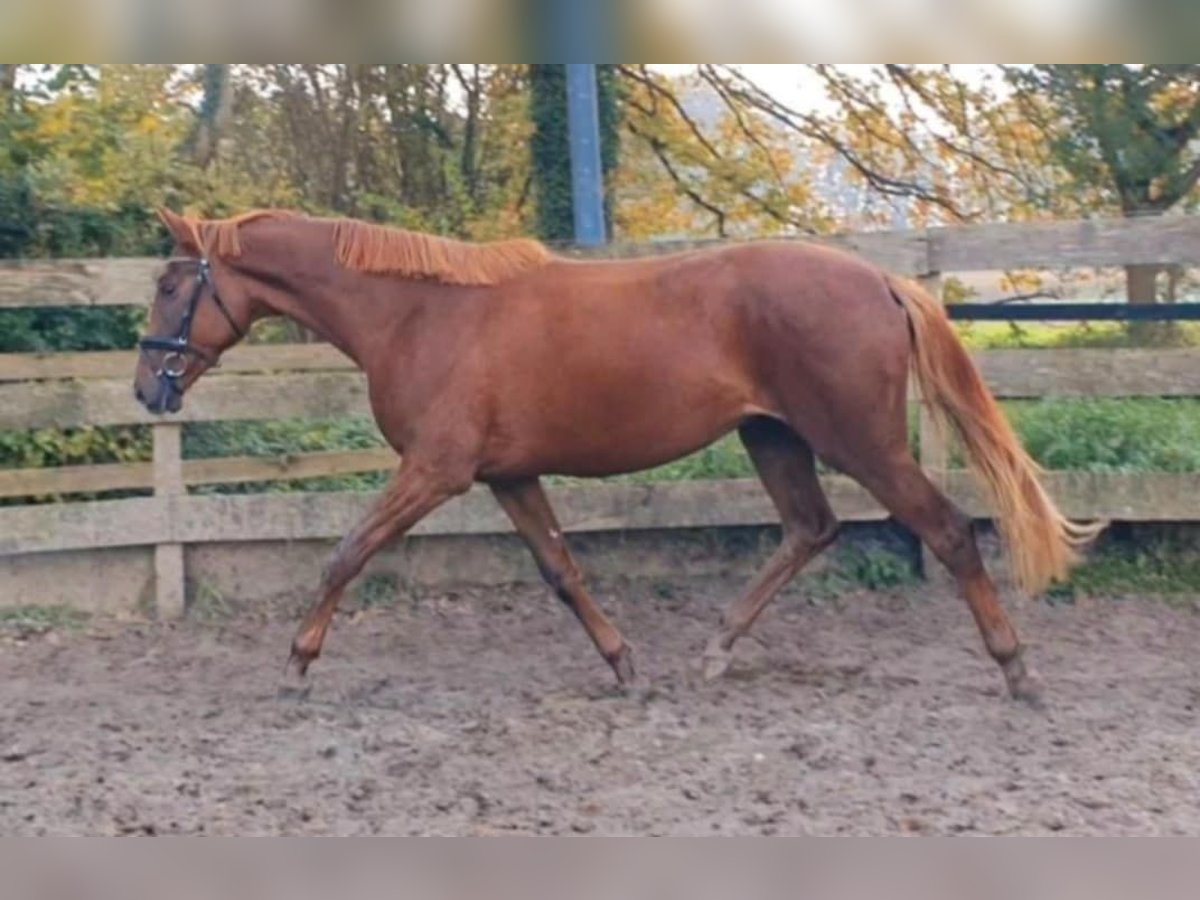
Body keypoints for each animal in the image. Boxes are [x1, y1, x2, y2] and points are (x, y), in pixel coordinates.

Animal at [136, 211, 1099, 705]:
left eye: (172, 283)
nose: (148, 388)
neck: (418, 314)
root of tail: (879, 279)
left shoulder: (437, 471)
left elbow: (345, 554)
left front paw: (297, 664)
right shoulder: (506, 475)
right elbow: (563, 572)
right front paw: (624, 666)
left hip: (858, 439)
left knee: (945, 528)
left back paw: (1017, 671)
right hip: (773, 435)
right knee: (810, 530)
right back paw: (715, 650)